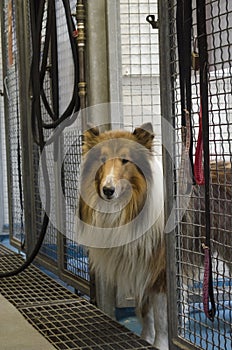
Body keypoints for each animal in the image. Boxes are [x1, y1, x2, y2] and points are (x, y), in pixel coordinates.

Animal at [78, 122, 169, 348]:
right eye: (102, 159)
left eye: (125, 160)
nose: (107, 190)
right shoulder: (139, 269)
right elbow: (145, 313)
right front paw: (145, 339)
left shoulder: (160, 274)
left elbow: (161, 320)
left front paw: (159, 345)